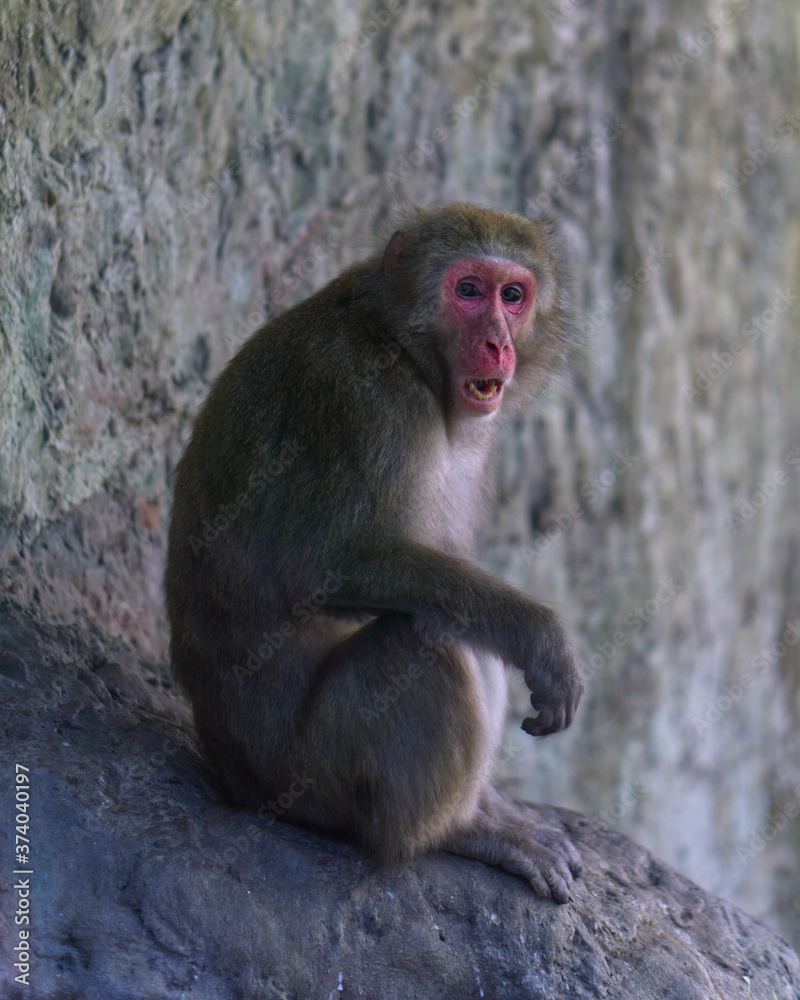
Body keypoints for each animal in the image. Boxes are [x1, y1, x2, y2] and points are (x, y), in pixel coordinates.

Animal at [167, 199, 580, 904]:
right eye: (469, 291)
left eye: (513, 295)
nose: (498, 344)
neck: (400, 343)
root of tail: (232, 776)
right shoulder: (366, 400)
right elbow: (326, 567)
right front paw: (540, 635)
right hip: (310, 773)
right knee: (426, 644)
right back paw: (454, 830)